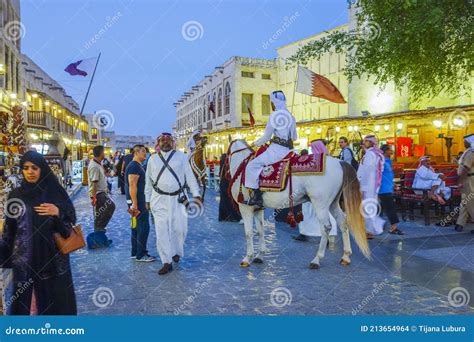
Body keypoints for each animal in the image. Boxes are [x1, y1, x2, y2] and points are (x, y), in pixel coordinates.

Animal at [228, 140, 372, 268]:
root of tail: (339, 161)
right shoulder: (258, 208)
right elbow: (260, 230)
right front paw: (260, 255)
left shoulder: (245, 207)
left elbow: (248, 233)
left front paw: (247, 258)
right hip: (333, 203)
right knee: (343, 223)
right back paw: (346, 256)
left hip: (320, 204)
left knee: (326, 227)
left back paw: (316, 259)